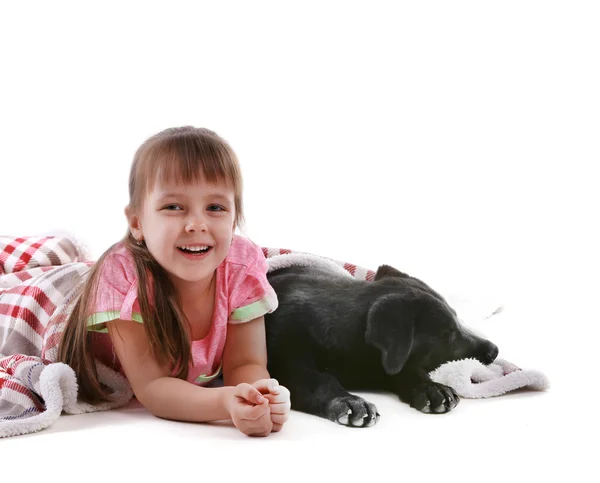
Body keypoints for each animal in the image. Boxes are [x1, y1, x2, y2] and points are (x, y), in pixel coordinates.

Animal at [264, 264, 500, 428]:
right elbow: (319, 380)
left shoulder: (383, 364)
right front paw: (348, 401)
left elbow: (406, 370)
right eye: (447, 334)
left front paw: (431, 387)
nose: (494, 350)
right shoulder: (286, 365)